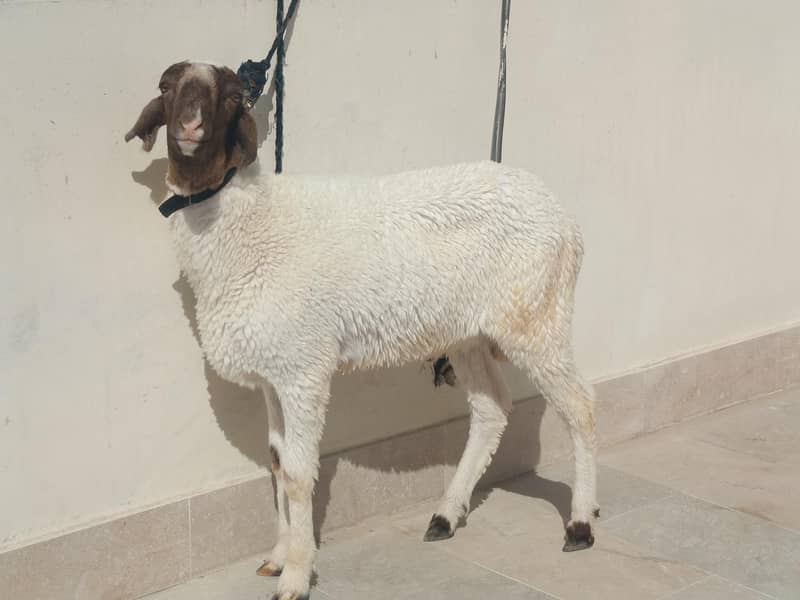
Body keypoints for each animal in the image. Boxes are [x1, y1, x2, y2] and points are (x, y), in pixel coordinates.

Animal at [126, 61, 599, 600]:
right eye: (167, 88)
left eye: (227, 97)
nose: (189, 124)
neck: (248, 223)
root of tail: (565, 218)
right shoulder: (272, 371)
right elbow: (276, 461)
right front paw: (277, 556)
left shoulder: (303, 368)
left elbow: (298, 473)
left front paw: (296, 575)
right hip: (469, 332)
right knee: (491, 409)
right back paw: (446, 515)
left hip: (537, 314)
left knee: (580, 407)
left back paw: (580, 523)